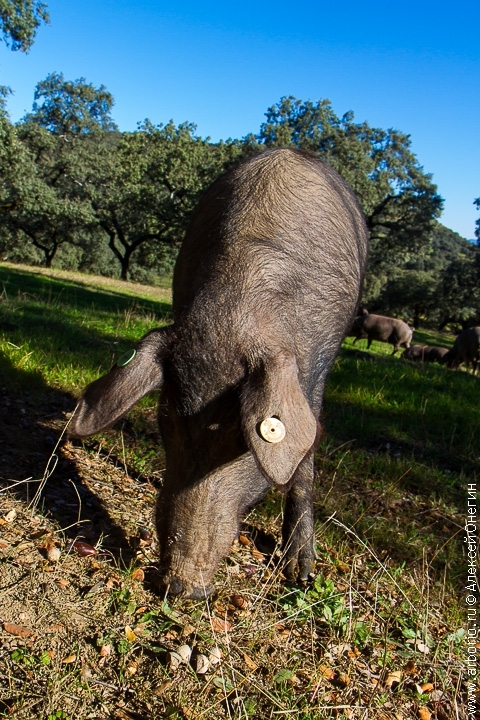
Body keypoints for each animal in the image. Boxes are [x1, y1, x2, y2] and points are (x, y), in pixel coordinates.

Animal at [68, 149, 368, 600]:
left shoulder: (317, 369)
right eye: (168, 419)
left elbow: (307, 451)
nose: (178, 586)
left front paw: (301, 575)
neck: (237, 310)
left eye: (241, 441)